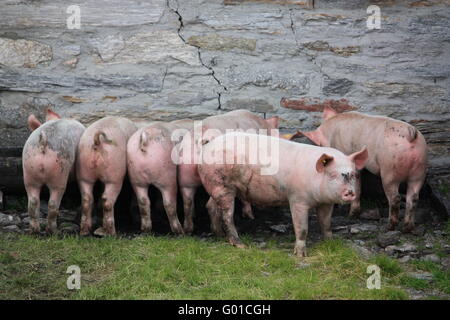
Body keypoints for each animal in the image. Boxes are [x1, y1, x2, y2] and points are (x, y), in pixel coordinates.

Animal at [199, 132, 368, 258]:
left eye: (353, 174)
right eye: (332, 175)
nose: (350, 193)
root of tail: (210, 143)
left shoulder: (326, 203)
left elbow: (326, 223)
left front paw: (330, 242)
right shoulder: (297, 199)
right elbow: (302, 228)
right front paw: (300, 255)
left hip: (216, 186)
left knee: (210, 206)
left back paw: (219, 234)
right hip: (223, 185)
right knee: (227, 215)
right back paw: (240, 245)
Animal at [294, 107, 428, 232]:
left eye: (321, 145)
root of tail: (410, 133)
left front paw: (350, 216)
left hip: (390, 169)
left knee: (395, 198)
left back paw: (389, 227)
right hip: (420, 168)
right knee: (413, 197)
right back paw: (407, 228)